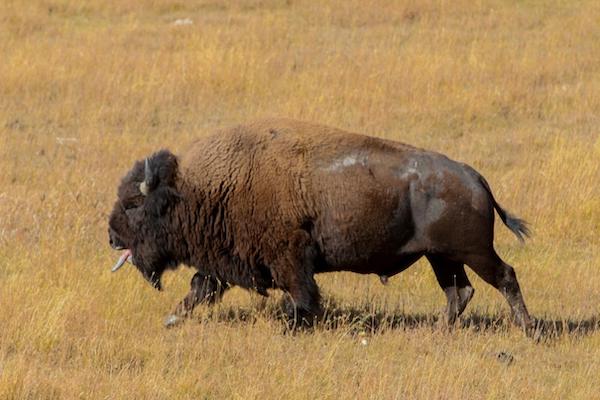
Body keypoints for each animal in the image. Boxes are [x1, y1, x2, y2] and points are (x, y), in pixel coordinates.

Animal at [108, 120, 528, 332]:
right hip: (442, 257)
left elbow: (302, 294)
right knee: (459, 292)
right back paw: (440, 330)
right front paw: (171, 319)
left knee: (505, 276)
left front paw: (293, 326)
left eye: (134, 205)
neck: (200, 189)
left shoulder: (290, 258)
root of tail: (472, 175)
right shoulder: (221, 263)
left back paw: (527, 328)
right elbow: (199, 289)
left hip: (472, 252)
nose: (112, 237)